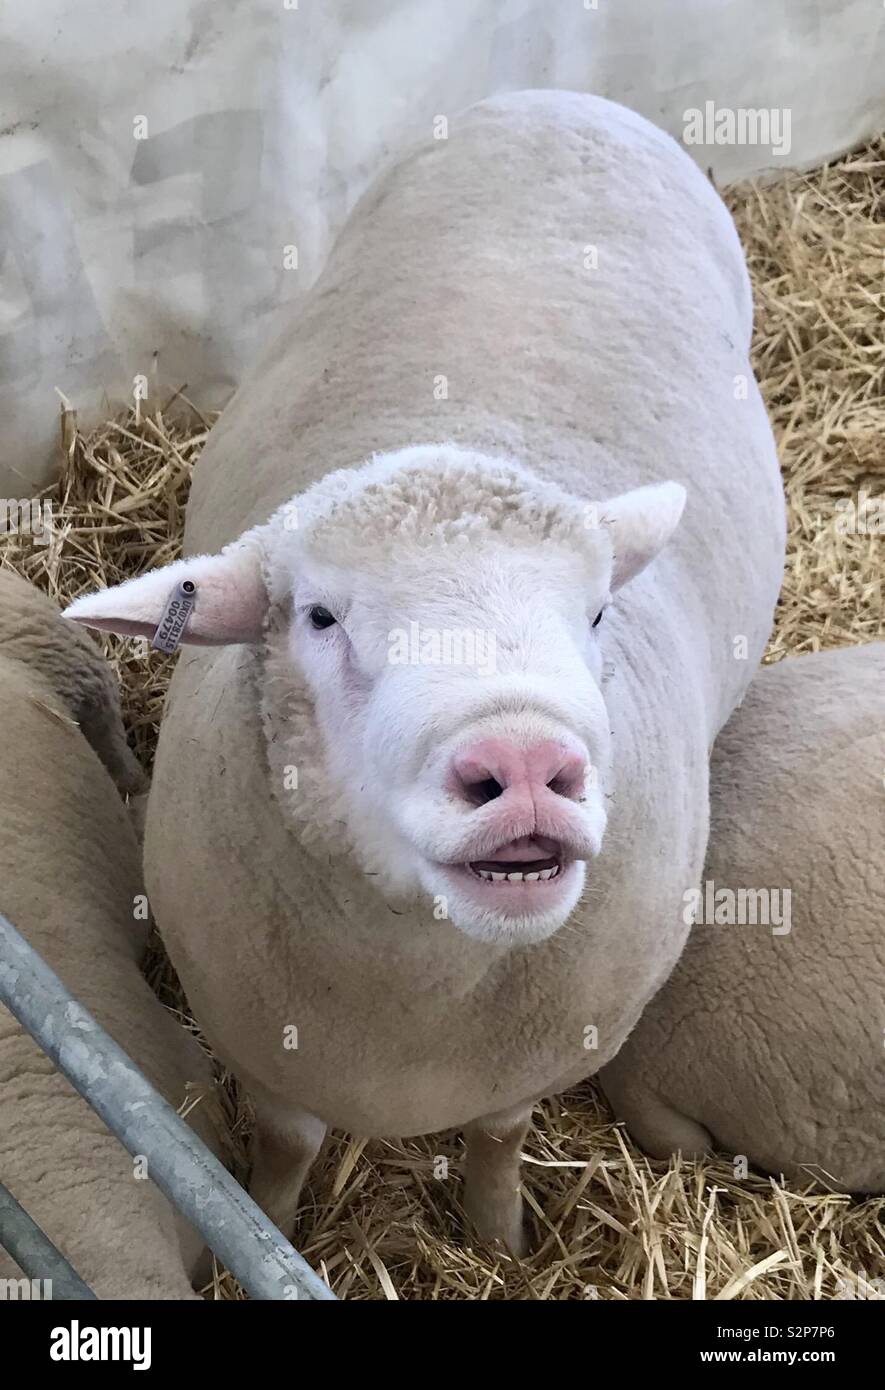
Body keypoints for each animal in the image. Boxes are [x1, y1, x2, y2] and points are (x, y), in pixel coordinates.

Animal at [65, 91, 785, 1251]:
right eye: (319, 615)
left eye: (595, 611)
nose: (527, 764)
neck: (421, 996)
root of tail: (566, 98)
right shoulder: (267, 1051)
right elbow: (287, 1151)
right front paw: (271, 1225)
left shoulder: (526, 1068)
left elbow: (497, 1136)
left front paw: (498, 1236)